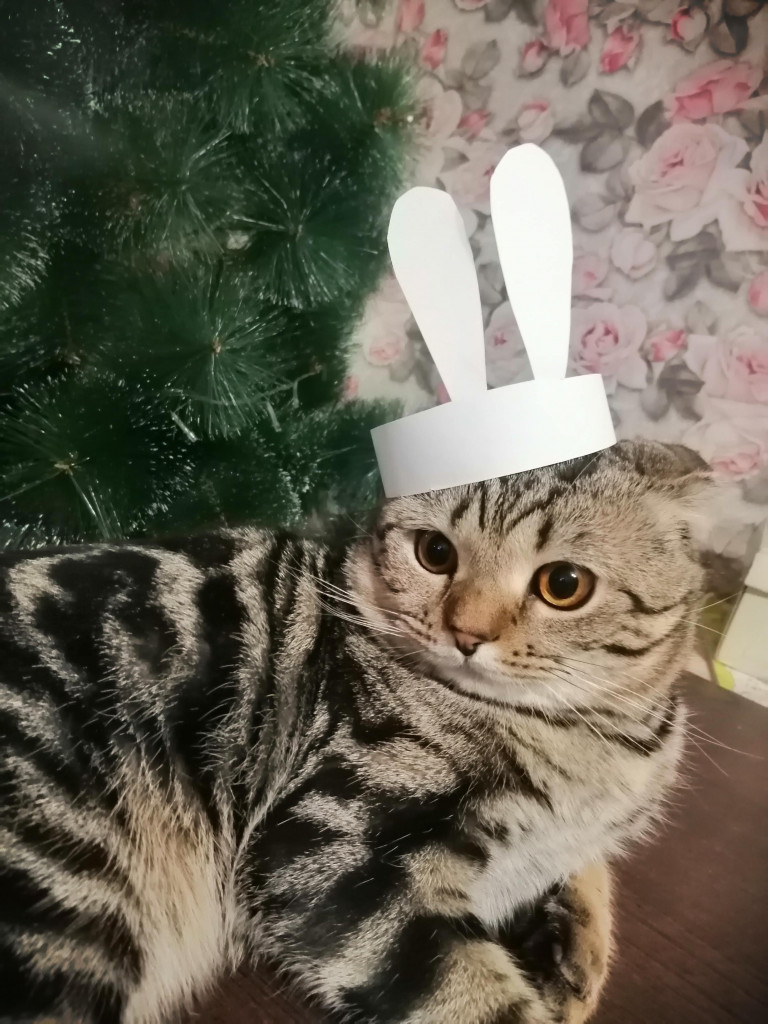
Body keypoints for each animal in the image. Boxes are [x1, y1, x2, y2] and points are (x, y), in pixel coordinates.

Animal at [0, 439, 708, 1024]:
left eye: (565, 584)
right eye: (435, 553)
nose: (467, 634)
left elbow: (589, 869)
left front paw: (574, 957)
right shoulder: (331, 853)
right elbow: (476, 996)